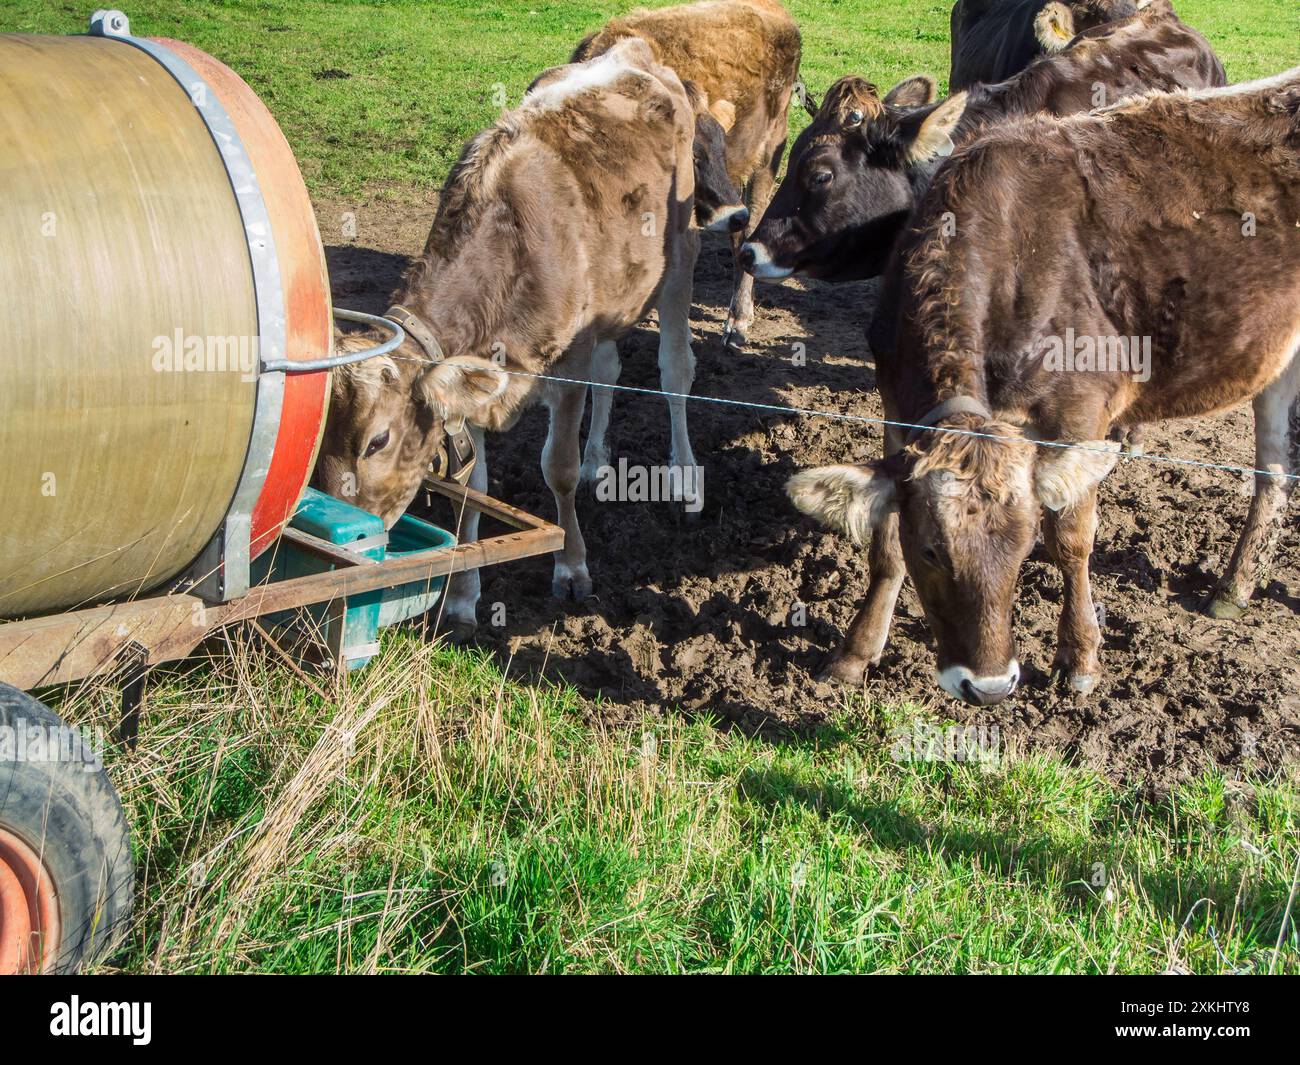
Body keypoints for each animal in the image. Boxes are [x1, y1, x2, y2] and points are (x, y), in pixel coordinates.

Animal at [313, 37, 702, 629]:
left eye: (377, 440)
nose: (344, 548)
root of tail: (632, 48)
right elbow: (471, 489)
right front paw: (462, 596)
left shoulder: (569, 364)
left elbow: (558, 469)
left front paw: (571, 567)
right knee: (611, 371)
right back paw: (599, 457)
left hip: (681, 255)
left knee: (675, 372)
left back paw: (683, 477)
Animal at [785, 70, 1300, 707]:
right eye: (932, 550)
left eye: (1024, 545)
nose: (987, 686)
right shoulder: (896, 407)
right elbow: (884, 540)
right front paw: (855, 652)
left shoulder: (1080, 412)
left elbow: (1072, 537)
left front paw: (1080, 657)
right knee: (1274, 472)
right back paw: (1235, 587)